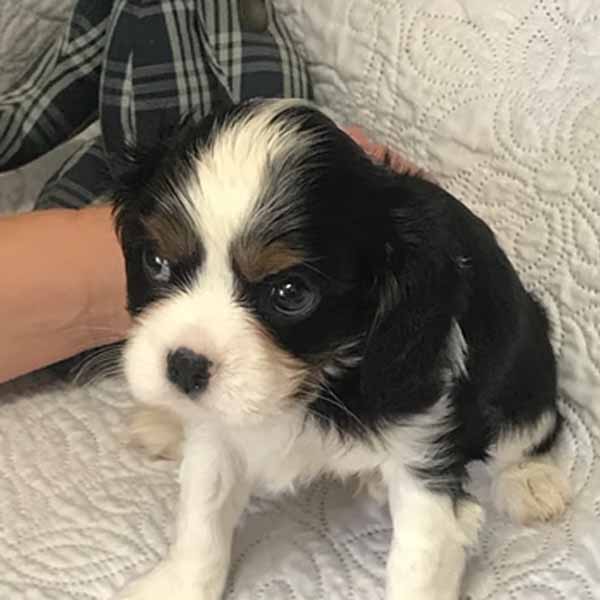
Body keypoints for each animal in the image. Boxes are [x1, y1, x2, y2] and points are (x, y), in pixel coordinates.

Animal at [112, 98, 570, 600]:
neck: (316, 379)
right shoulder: (218, 438)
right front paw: (180, 583)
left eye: (291, 293)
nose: (184, 366)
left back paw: (531, 482)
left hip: (522, 362)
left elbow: (420, 558)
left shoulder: (424, 448)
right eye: (155, 262)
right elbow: (202, 513)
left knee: (532, 428)